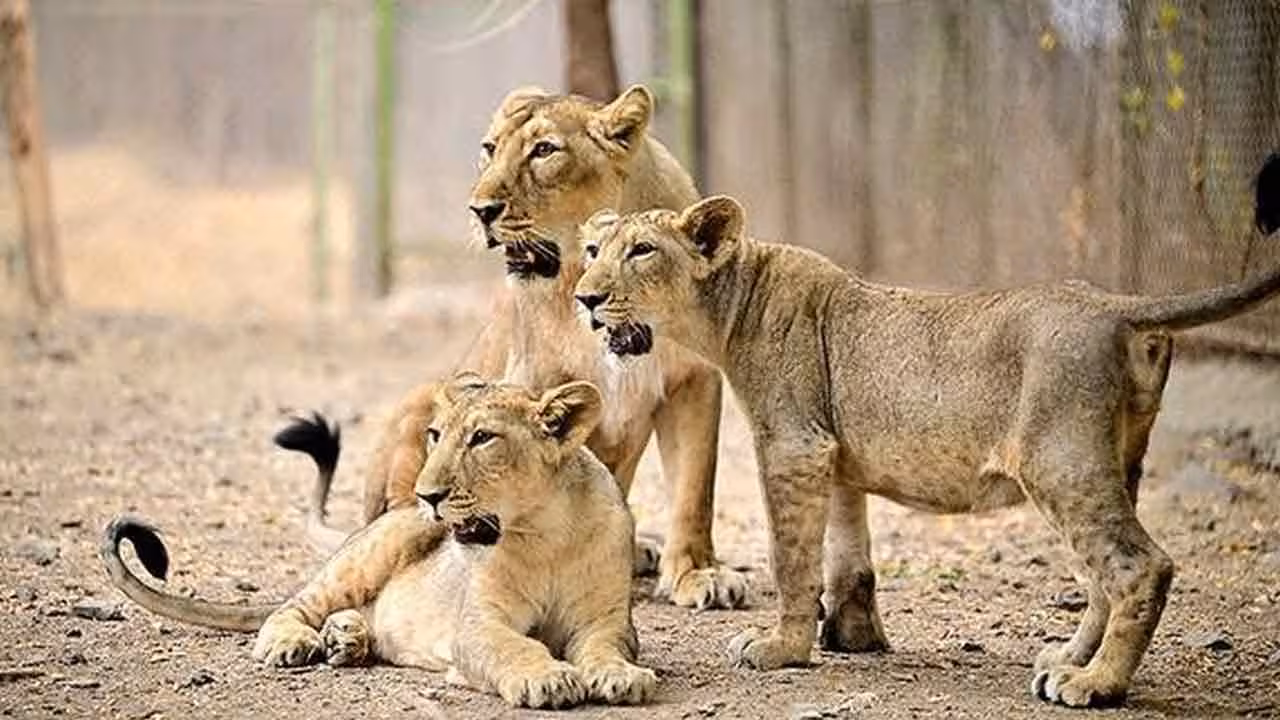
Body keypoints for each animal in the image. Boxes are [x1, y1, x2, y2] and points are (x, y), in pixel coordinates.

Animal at [102, 378, 655, 709]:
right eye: (435, 434)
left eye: (482, 438)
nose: (428, 495)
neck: (545, 532)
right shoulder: (477, 626)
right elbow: (515, 645)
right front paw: (549, 679)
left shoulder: (606, 620)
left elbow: (605, 648)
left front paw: (622, 677)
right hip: (376, 548)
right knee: (290, 607)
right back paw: (297, 643)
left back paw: (347, 639)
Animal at [304, 84, 745, 610]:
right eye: (489, 149)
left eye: (544, 150)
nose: (480, 210)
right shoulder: (531, 382)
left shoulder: (694, 381)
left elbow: (694, 488)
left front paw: (698, 573)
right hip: (421, 401)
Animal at [573, 196, 1280, 708]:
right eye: (592, 250)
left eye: (641, 251)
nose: (585, 297)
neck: (730, 305)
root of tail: (1116, 306)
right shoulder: (833, 453)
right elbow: (847, 551)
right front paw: (852, 637)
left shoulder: (793, 445)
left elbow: (790, 558)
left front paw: (781, 647)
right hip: (1116, 461)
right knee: (1101, 574)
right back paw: (1067, 661)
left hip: (1059, 461)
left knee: (1139, 565)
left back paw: (1096, 684)